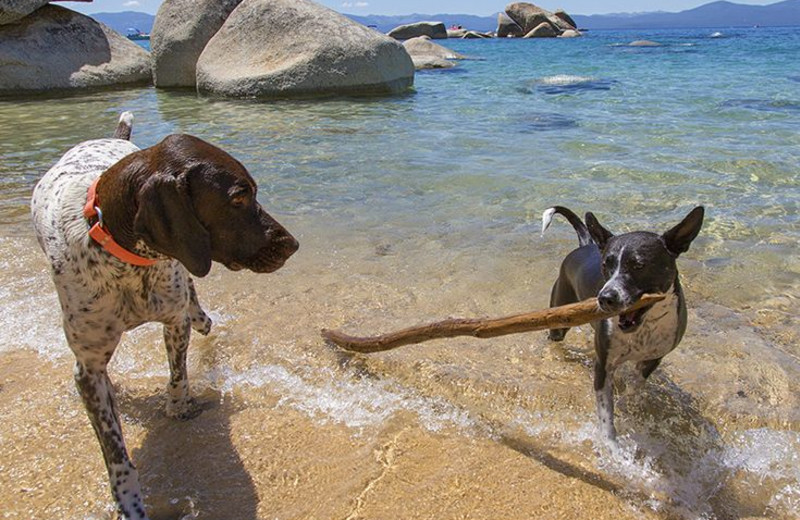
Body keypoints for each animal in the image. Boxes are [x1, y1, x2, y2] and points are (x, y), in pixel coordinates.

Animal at [29, 114, 300, 520]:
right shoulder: (88, 369)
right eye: (239, 197)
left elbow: (178, 374)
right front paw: (128, 499)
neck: (127, 261)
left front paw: (178, 406)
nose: (293, 245)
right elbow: (115, 451)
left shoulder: (174, 320)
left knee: (193, 298)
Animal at [540, 205, 704, 440]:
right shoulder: (603, 366)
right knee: (554, 336)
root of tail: (586, 244)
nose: (605, 298)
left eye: (639, 265)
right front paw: (610, 444)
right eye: (605, 265)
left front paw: (627, 404)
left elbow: (636, 385)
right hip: (560, 314)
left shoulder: (654, 357)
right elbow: (606, 415)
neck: (643, 327)